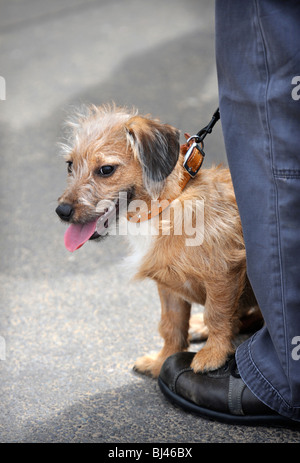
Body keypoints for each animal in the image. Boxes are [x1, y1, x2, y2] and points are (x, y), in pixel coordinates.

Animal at [55, 103, 262, 378]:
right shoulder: (169, 286)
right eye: (70, 165)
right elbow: (171, 324)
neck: (165, 207)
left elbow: (217, 315)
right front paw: (163, 360)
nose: (62, 211)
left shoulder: (223, 273)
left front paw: (213, 355)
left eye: (106, 170)